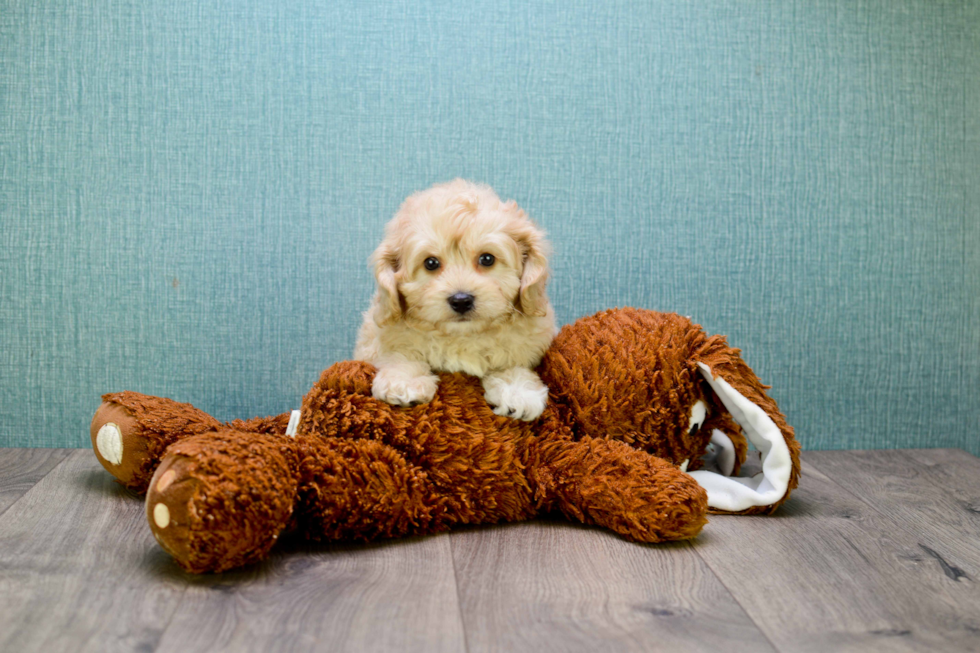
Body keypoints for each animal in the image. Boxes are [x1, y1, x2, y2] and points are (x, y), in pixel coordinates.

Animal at [358, 181, 560, 420]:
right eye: (430, 263)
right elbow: (400, 353)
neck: (462, 337)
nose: (461, 300)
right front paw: (404, 380)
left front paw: (517, 390)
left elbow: (510, 362)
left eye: (487, 259)